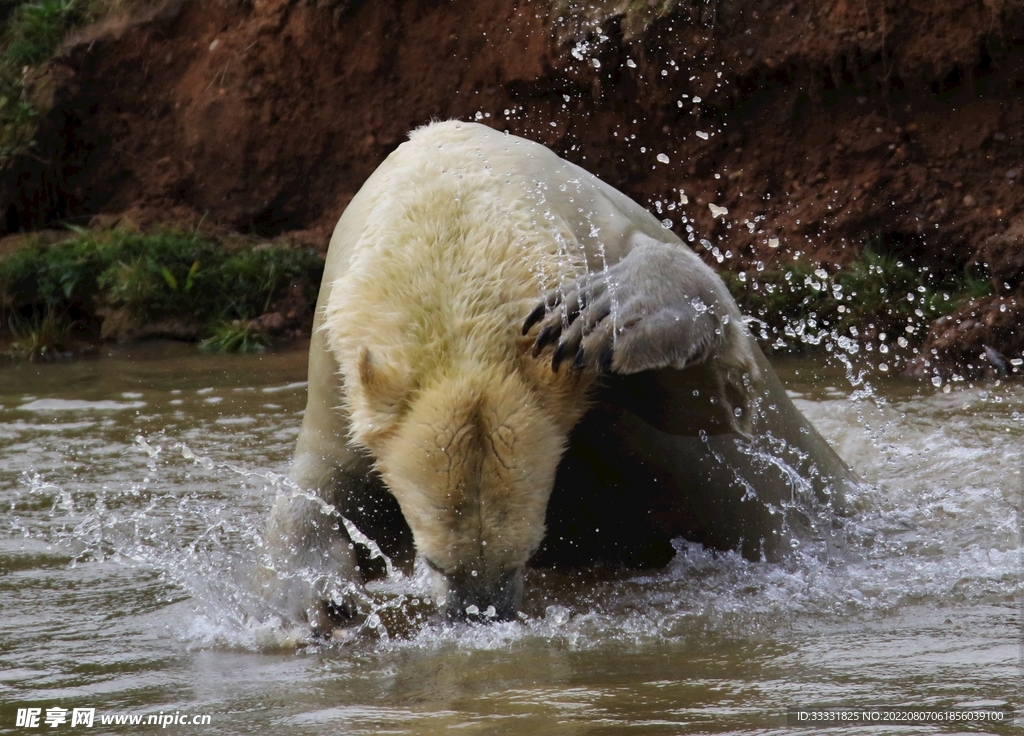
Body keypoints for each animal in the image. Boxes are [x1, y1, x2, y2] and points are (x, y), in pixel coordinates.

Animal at [264, 120, 856, 634]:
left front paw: (609, 311)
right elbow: (326, 481)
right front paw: (318, 605)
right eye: (434, 563)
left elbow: (720, 401)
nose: (481, 615)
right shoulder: (337, 353)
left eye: (524, 555)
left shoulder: (597, 231)